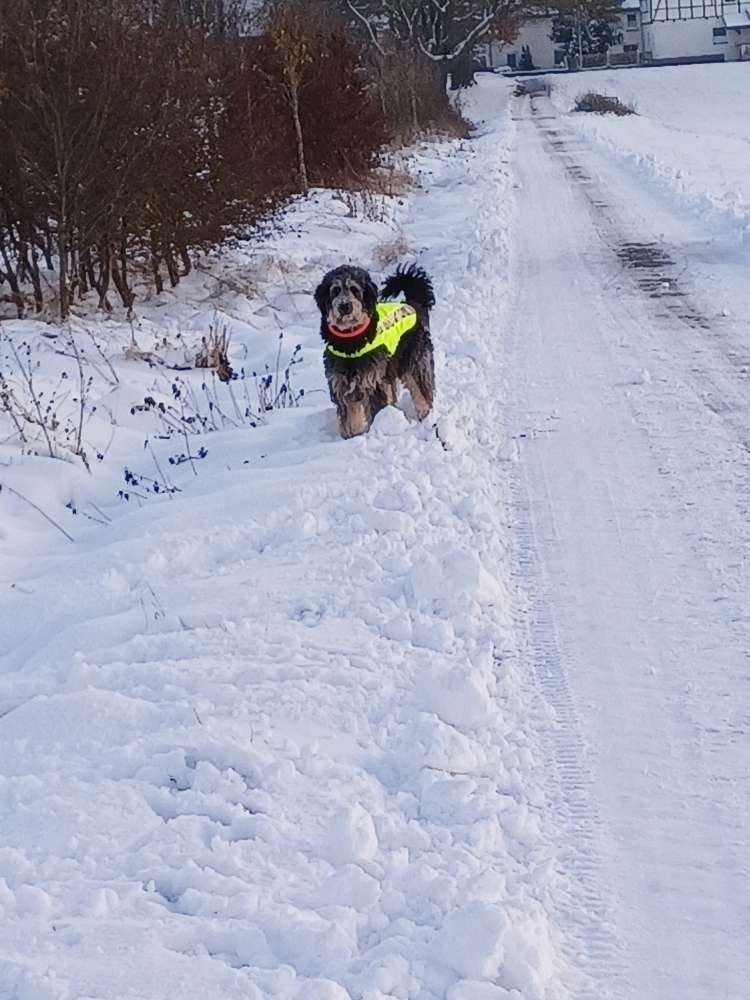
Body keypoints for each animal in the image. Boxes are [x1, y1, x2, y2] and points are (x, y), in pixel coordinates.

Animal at [314, 264, 438, 440]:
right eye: (335, 290)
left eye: (355, 289)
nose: (345, 306)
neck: (351, 344)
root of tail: (411, 305)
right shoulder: (342, 385)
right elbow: (351, 416)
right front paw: (353, 437)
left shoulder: (373, 381)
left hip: (414, 363)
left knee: (422, 393)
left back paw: (426, 417)